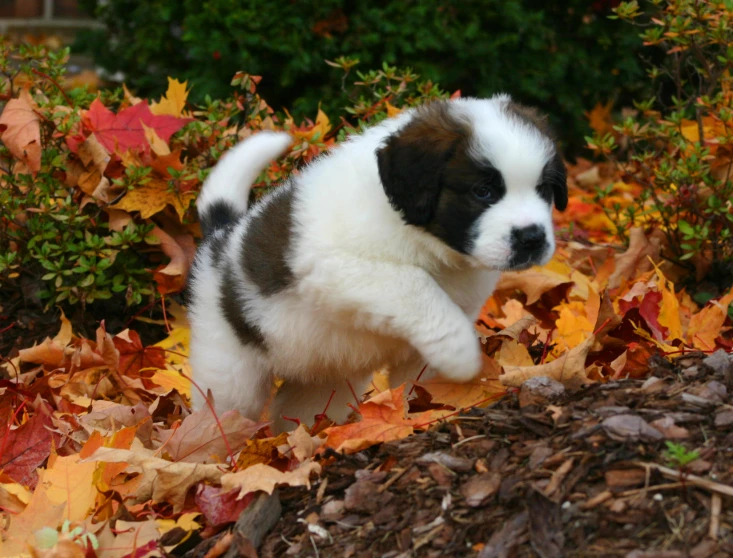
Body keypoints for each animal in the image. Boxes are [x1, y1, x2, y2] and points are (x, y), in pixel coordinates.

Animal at [189, 95, 568, 434]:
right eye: (483, 192)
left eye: (543, 189)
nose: (532, 238)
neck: (427, 241)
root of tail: (220, 238)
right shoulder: (336, 267)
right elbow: (413, 284)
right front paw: (460, 353)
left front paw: (430, 406)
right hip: (229, 372)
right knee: (224, 414)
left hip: (323, 379)